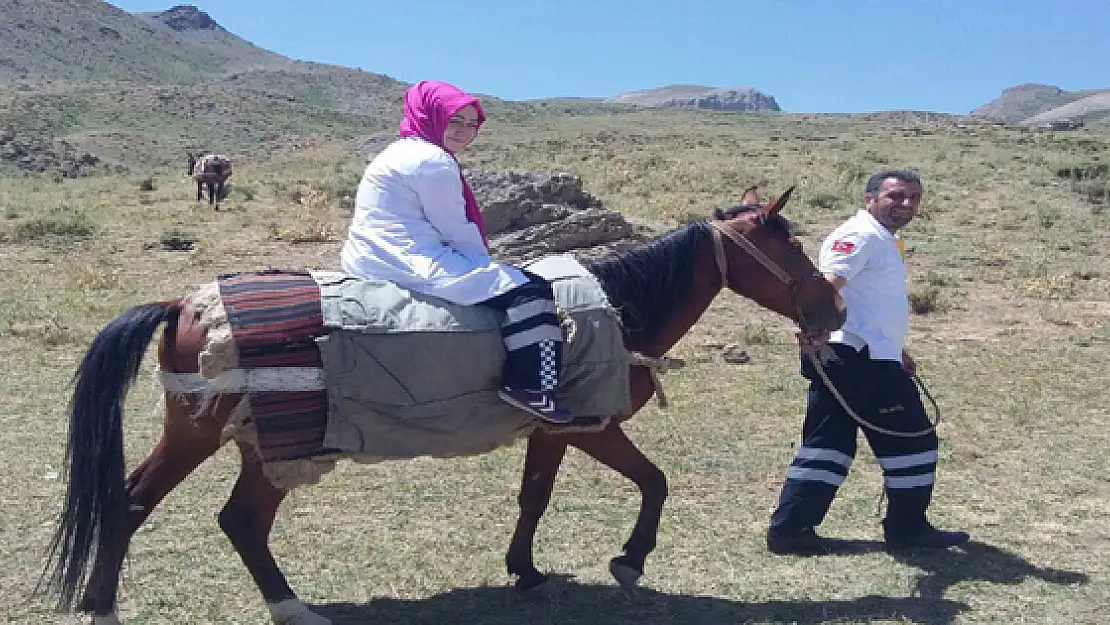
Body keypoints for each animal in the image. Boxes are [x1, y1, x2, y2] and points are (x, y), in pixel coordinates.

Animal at [41, 187, 839, 625]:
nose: (831, 307)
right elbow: (655, 482)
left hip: (232, 437)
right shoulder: (595, 426)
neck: (614, 309)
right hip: (257, 439)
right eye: (790, 246)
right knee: (208, 514)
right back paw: (279, 606)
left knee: (160, 504)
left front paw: (525, 570)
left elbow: (534, 496)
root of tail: (187, 303)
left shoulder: (554, 430)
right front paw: (630, 559)